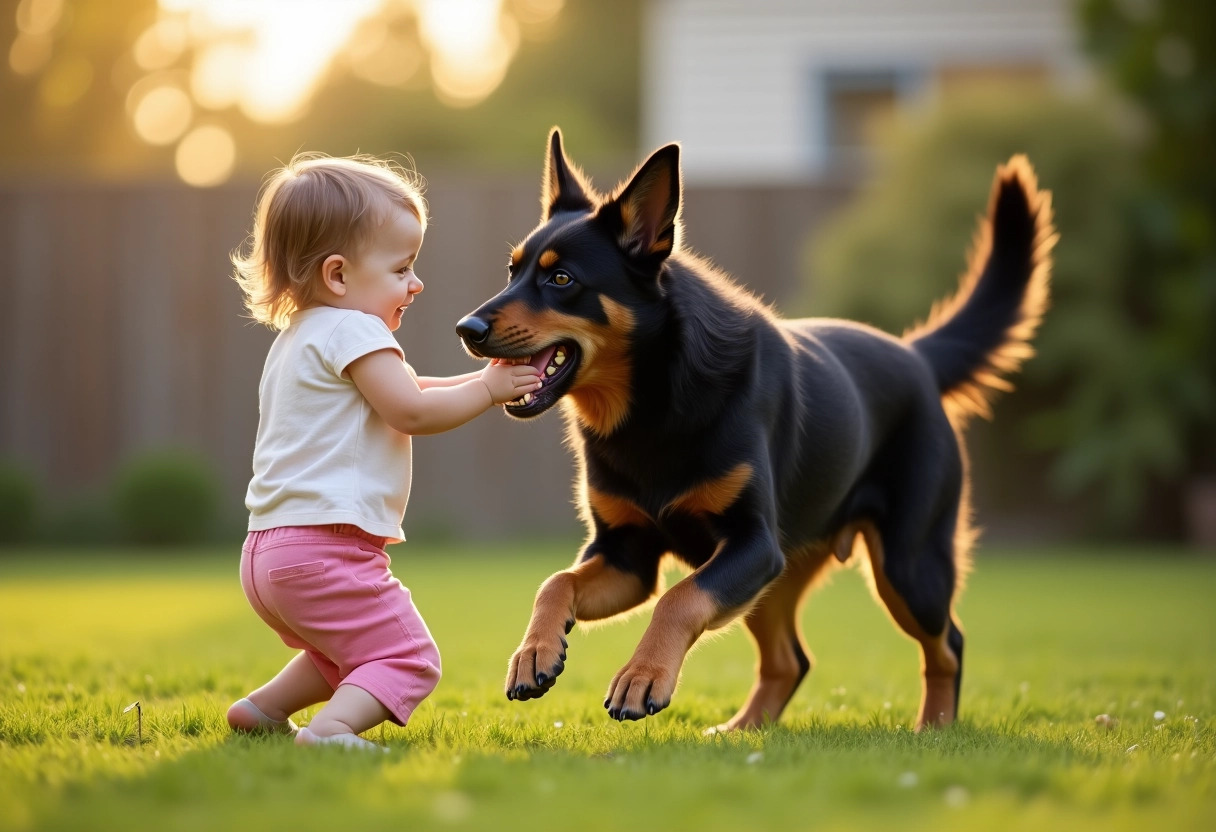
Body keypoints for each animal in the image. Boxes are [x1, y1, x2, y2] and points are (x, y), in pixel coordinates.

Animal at [457, 126, 1055, 729]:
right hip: (783, 576)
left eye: (561, 279)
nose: (467, 328)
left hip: (908, 566)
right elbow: (556, 582)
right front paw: (535, 652)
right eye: (513, 272)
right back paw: (739, 730)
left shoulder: (750, 544)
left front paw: (642, 677)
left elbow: (679, 599)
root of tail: (916, 357)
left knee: (947, 644)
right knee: (790, 659)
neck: (651, 408)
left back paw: (931, 728)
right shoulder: (629, 557)